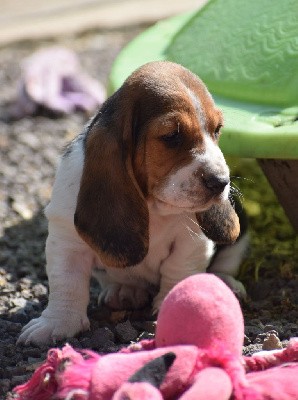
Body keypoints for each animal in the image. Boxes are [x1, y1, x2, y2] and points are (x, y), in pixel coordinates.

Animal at [17, 61, 248, 346]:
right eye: (172, 136)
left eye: (217, 130)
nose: (221, 182)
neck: (153, 204)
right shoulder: (66, 241)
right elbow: (66, 283)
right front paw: (57, 324)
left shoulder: (193, 243)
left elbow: (178, 270)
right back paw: (124, 290)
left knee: (226, 262)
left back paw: (226, 284)